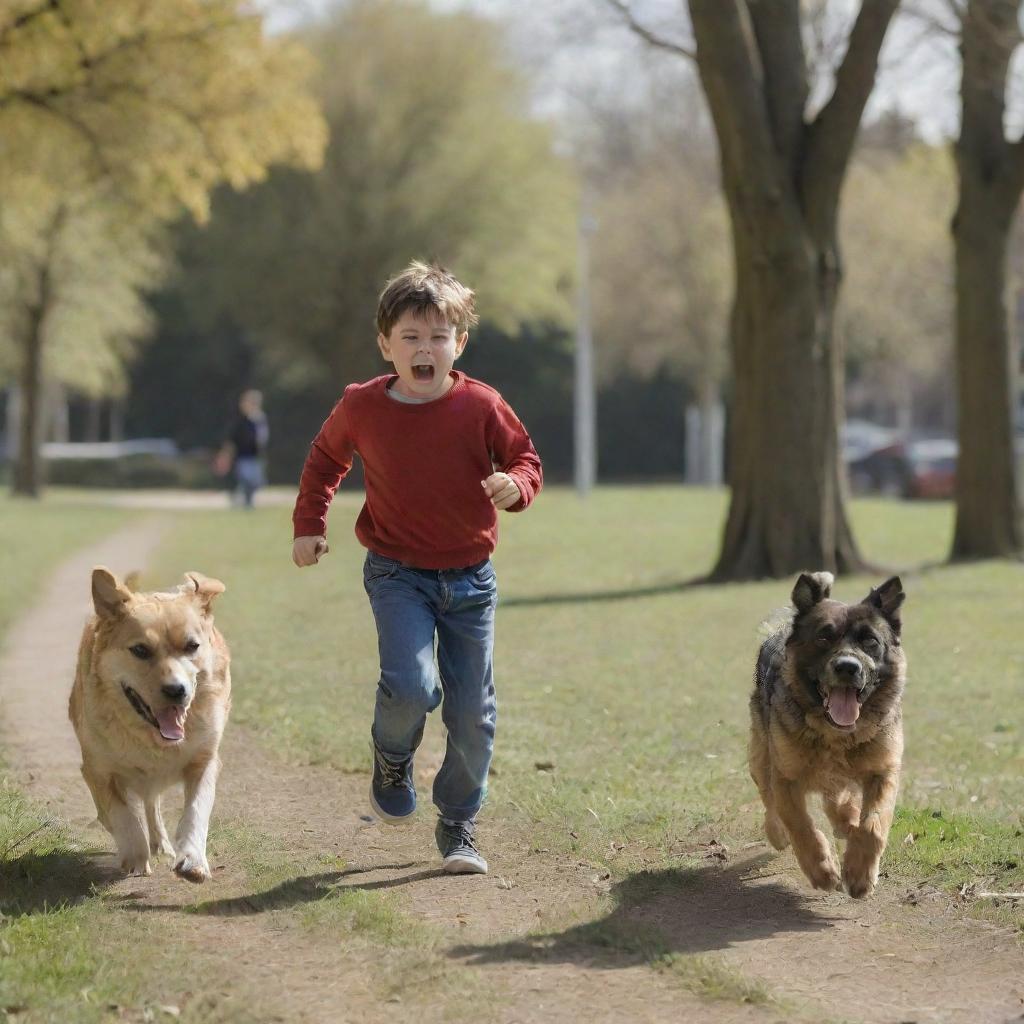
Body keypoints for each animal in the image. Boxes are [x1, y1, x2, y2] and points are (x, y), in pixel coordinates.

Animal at [70, 569, 232, 880]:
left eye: (192, 646)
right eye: (140, 650)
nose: (176, 690)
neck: (153, 740)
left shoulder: (204, 760)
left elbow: (196, 810)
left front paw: (192, 859)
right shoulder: (98, 769)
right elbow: (122, 814)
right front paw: (135, 855)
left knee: (152, 804)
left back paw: (161, 843)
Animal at [749, 573, 909, 901]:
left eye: (870, 641)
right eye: (823, 638)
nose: (847, 667)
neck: (836, 737)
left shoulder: (884, 770)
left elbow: (873, 825)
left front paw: (859, 874)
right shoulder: (786, 776)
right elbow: (799, 824)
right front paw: (823, 871)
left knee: (839, 801)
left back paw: (846, 822)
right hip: (761, 754)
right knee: (769, 799)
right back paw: (778, 832)